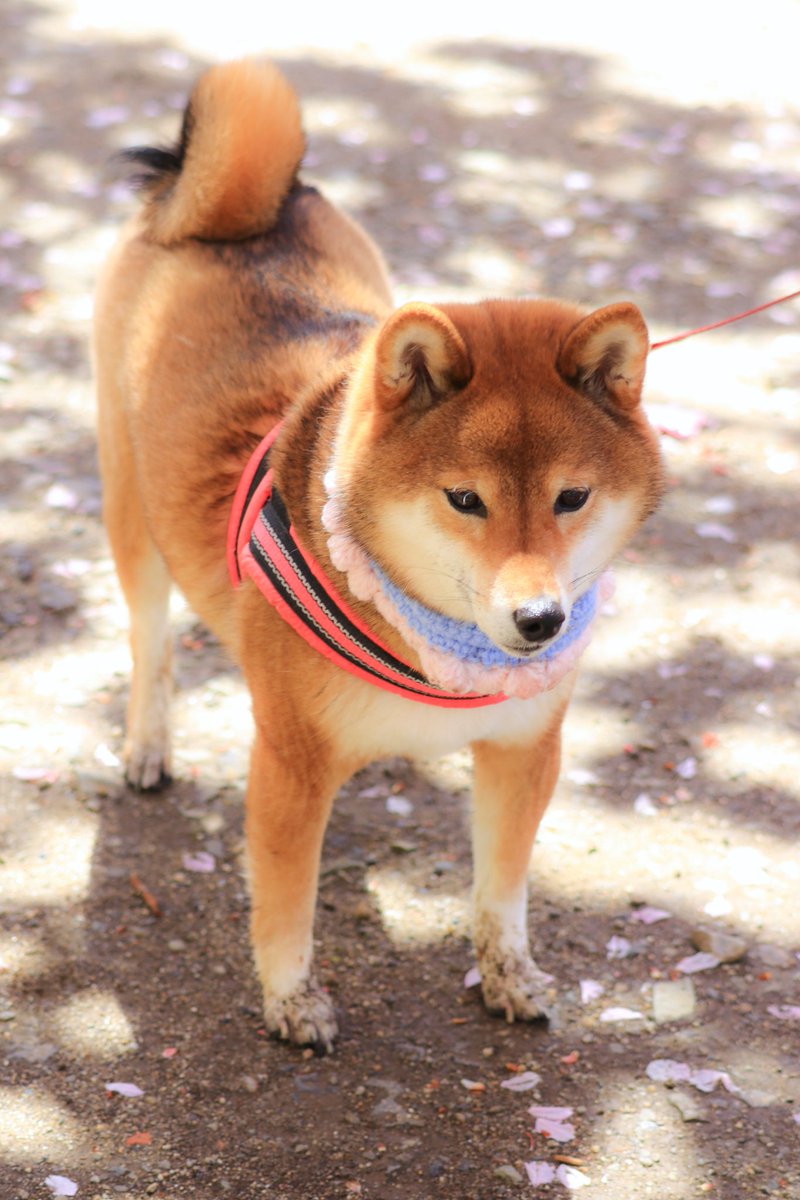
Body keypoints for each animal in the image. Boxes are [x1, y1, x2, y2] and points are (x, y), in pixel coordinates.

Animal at [94, 58, 666, 1051]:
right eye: (465, 500)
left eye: (572, 498)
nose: (541, 620)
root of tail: (229, 211)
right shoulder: (289, 765)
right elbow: (285, 906)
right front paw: (292, 999)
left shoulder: (525, 751)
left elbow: (502, 888)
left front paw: (508, 974)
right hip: (134, 514)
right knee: (149, 638)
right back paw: (148, 744)